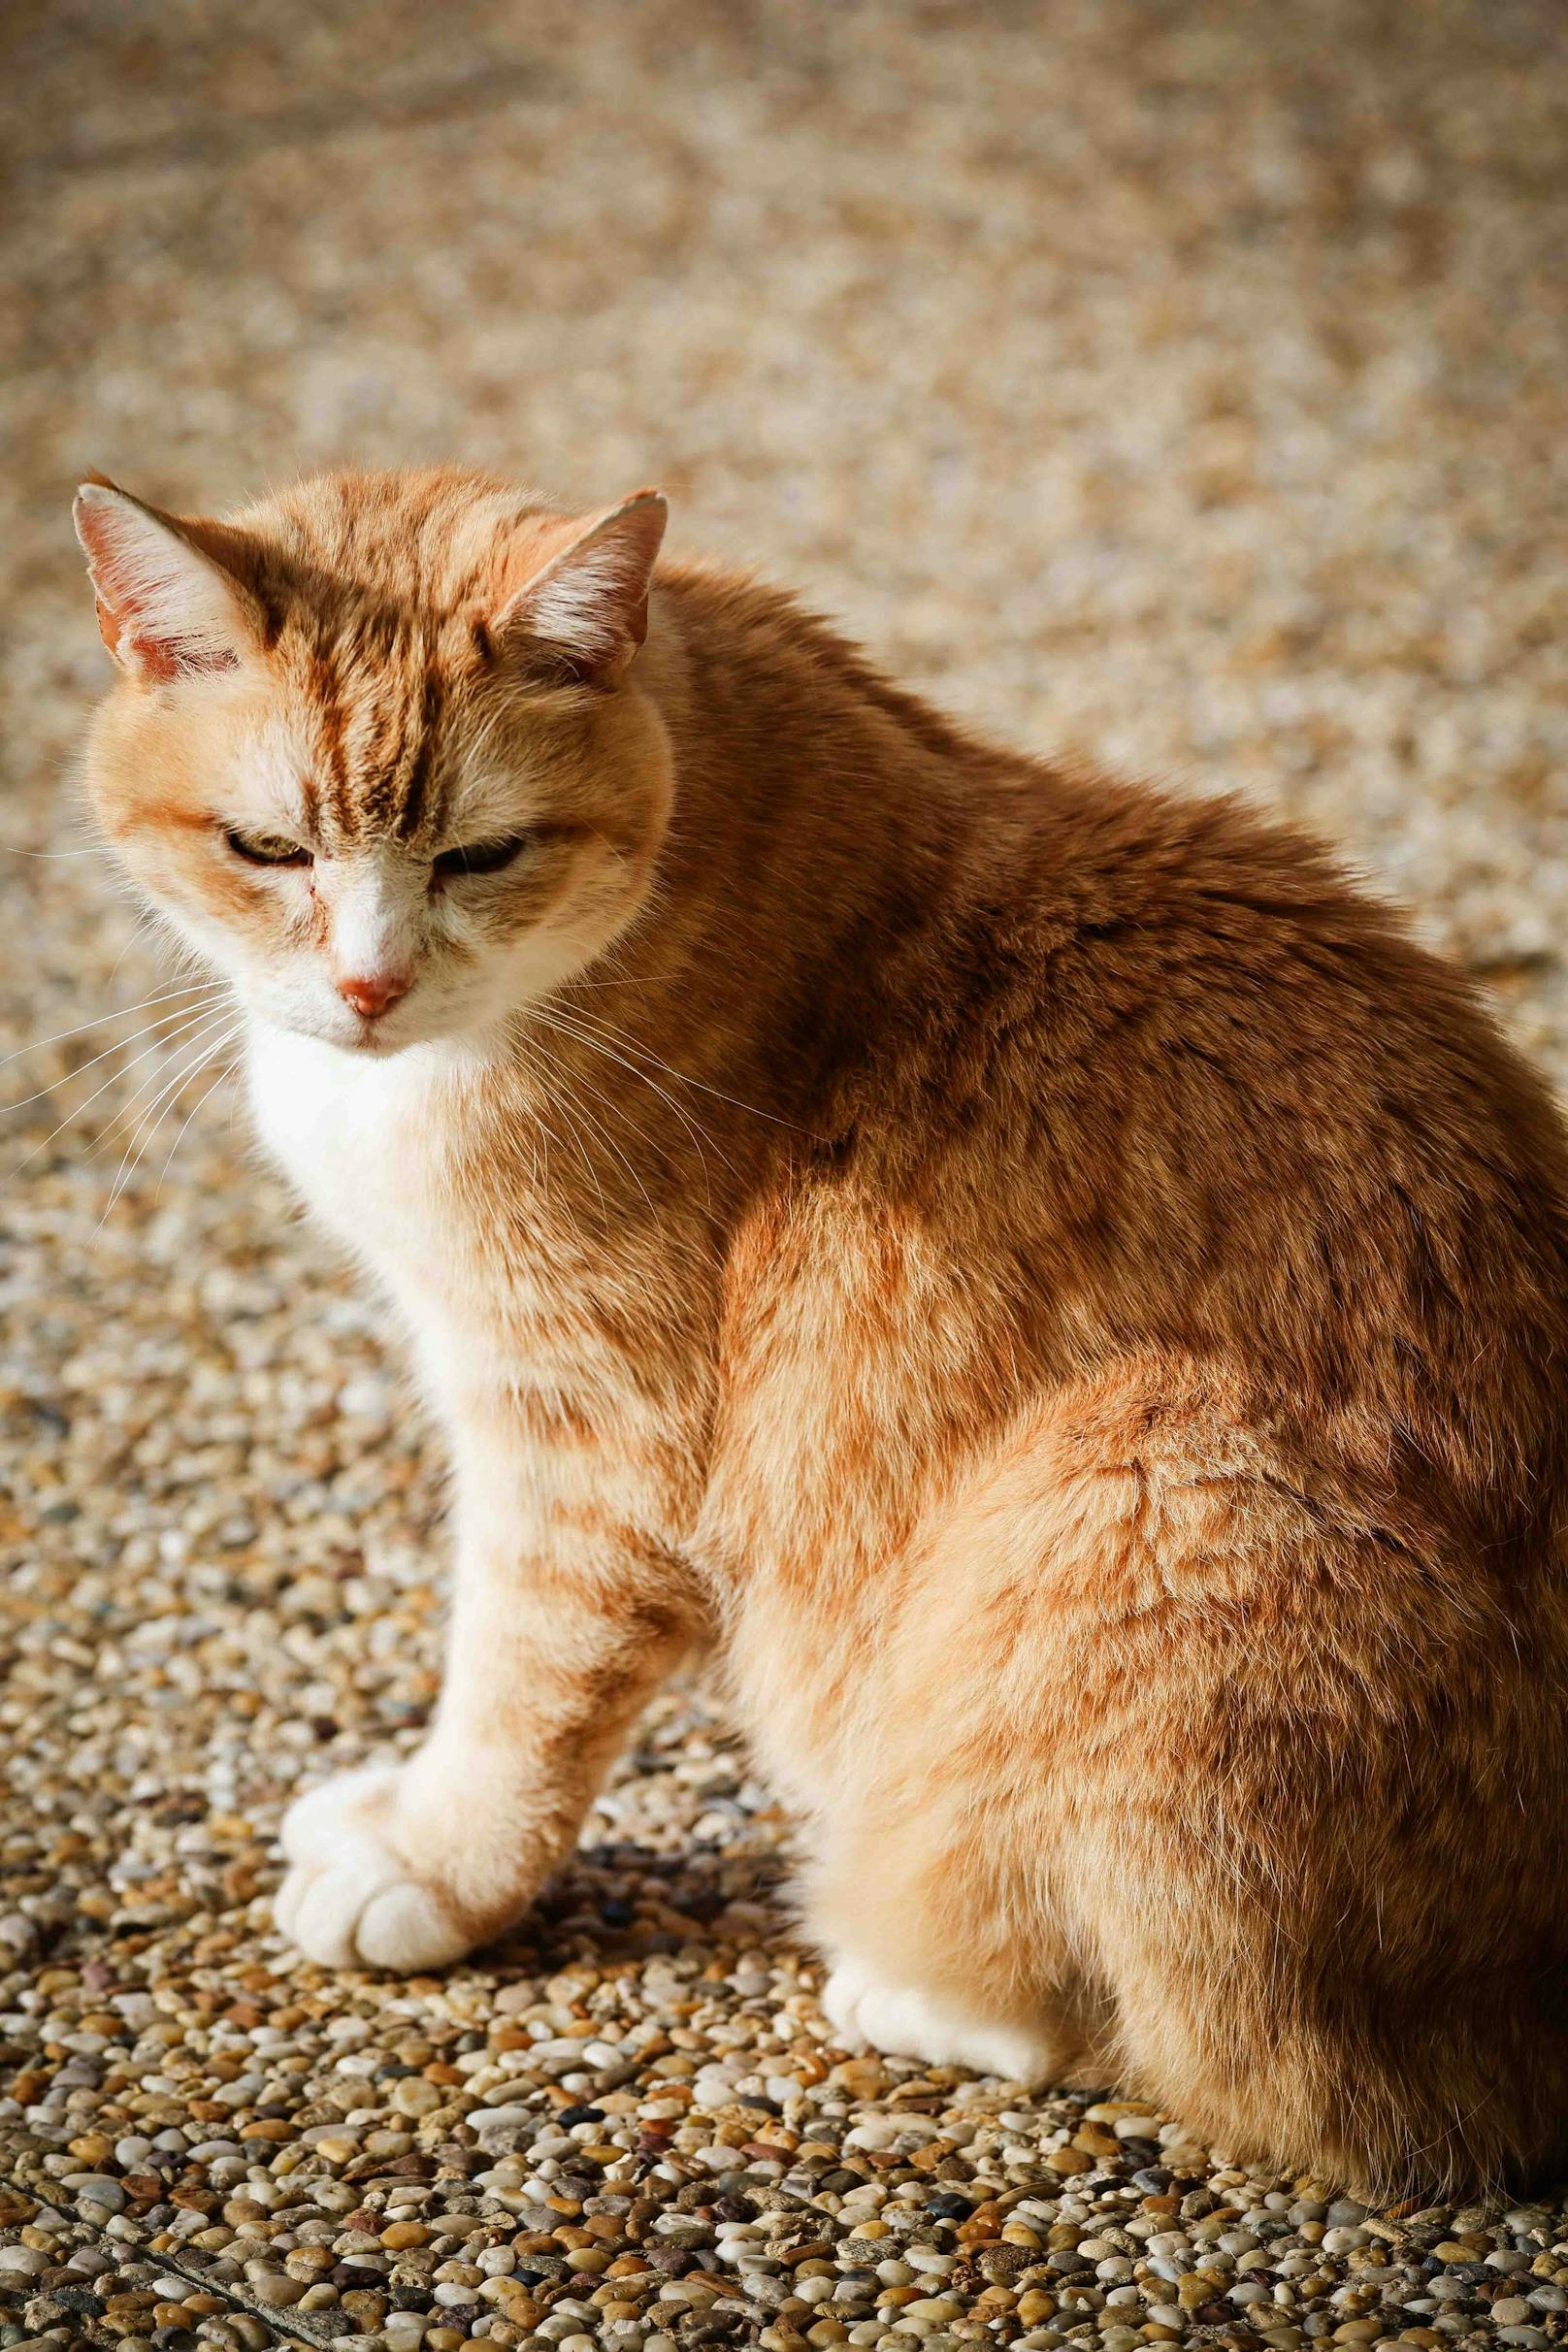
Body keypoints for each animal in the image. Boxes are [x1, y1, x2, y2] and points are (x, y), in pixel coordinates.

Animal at [73, 468, 1568, 2192]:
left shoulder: (591, 1440)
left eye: (482, 854)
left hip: (1131, 1483)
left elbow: (516, 1685)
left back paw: (920, 1985)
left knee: (1219, 2048)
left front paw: (440, 1864)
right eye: (268, 849)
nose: (370, 987)